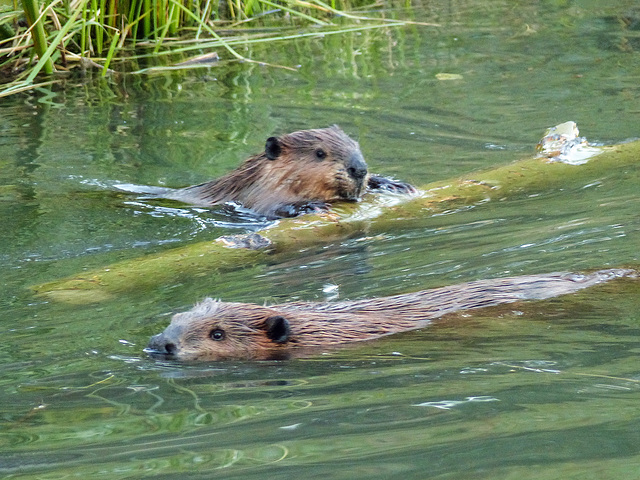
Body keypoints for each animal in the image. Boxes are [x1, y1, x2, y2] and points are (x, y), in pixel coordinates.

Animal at [161, 126, 416, 218]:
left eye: (356, 145)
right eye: (320, 153)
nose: (359, 169)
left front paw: (394, 185)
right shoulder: (255, 193)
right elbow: (268, 208)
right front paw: (310, 206)